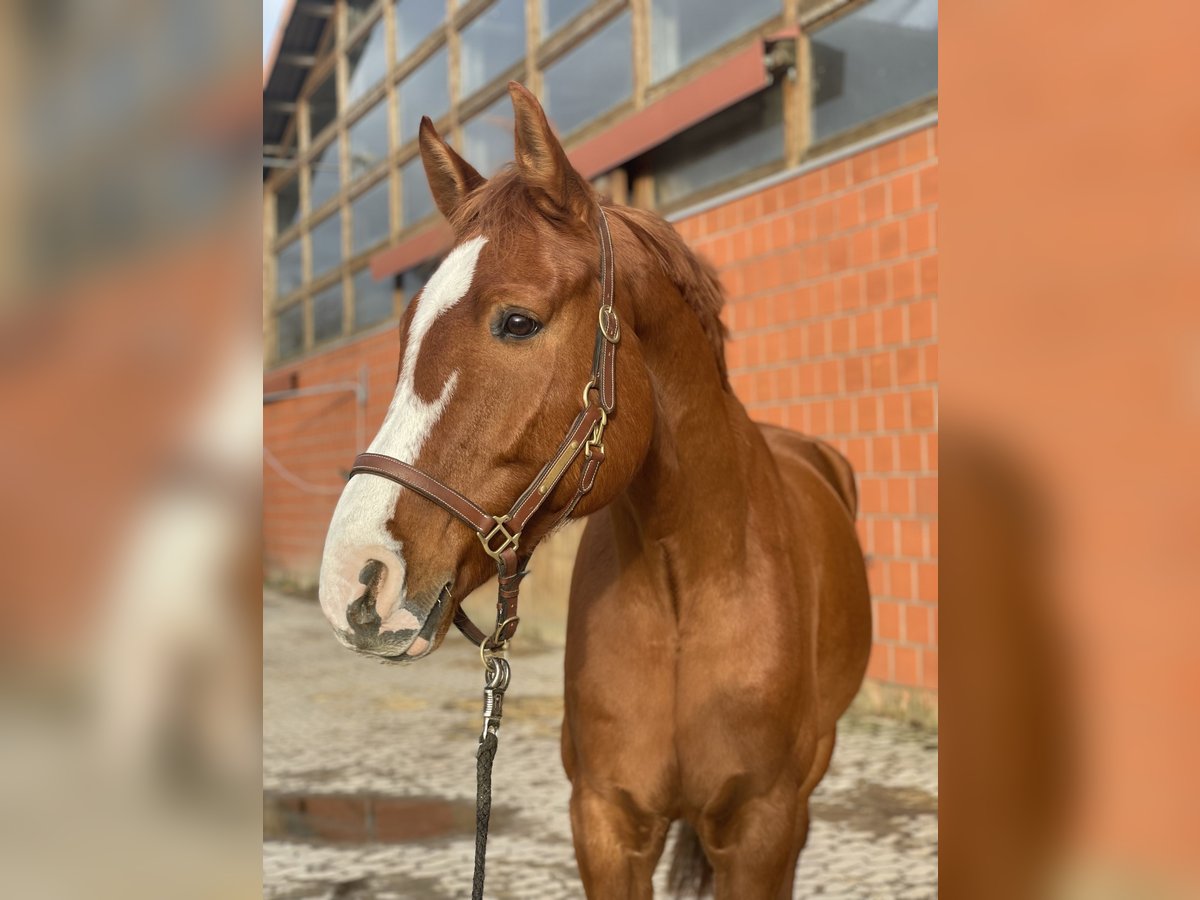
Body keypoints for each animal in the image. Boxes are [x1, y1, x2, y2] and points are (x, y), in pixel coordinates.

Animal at [318, 81, 872, 899]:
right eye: (407, 328)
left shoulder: (763, 827)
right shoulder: (607, 822)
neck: (687, 588)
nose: (355, 581)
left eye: (518, 321)